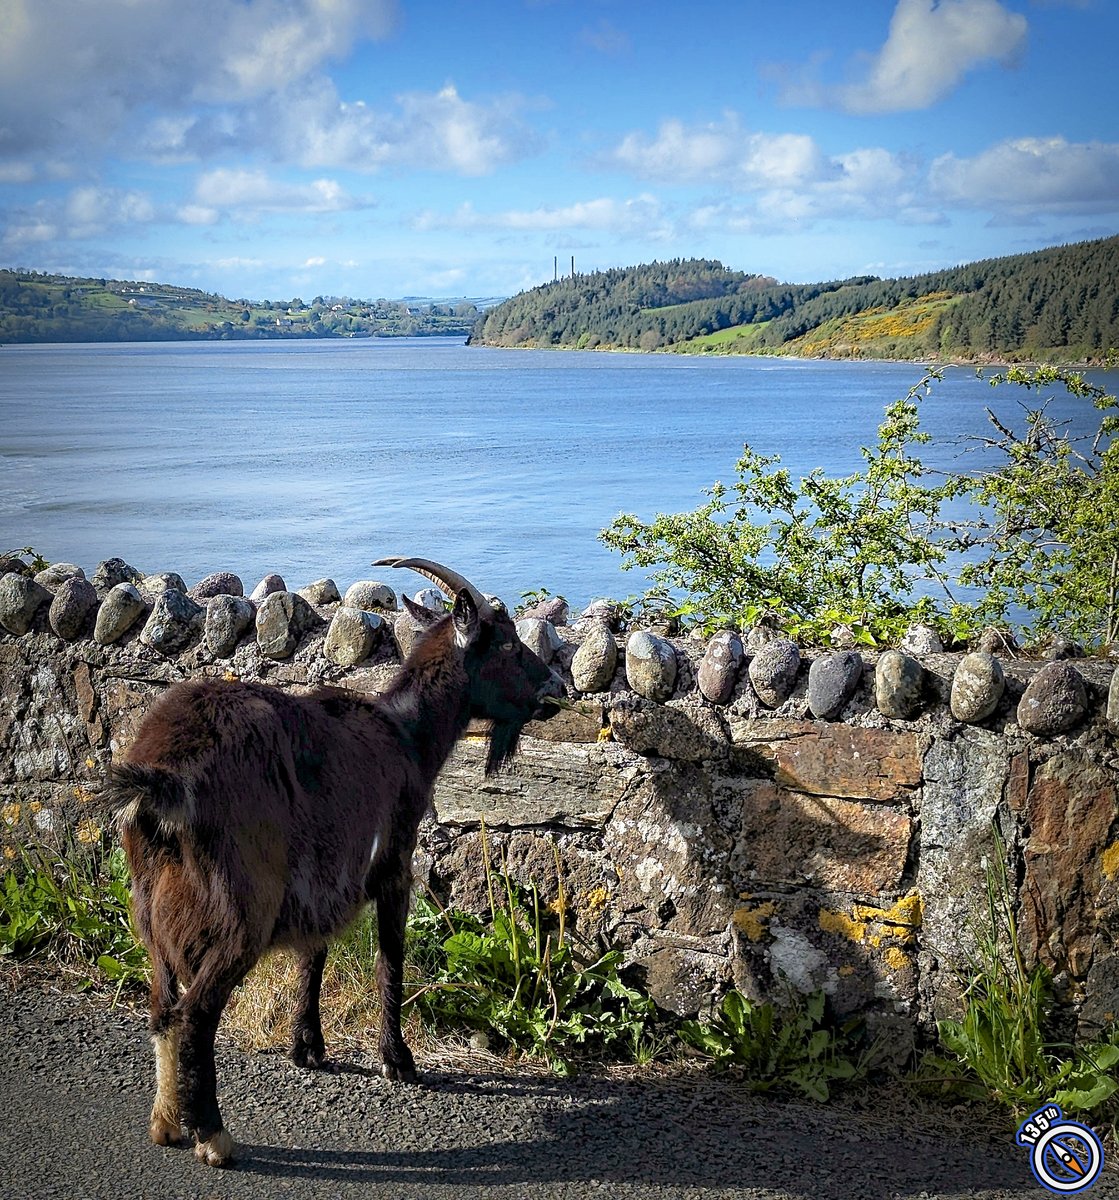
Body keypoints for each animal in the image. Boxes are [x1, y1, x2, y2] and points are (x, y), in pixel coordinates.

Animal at [106, 557, 565, 1167]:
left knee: (161, 1007)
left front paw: (308, 1047)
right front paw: (398, 1060)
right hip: (239, 909)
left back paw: (166, 1123)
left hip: (150, 908)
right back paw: (212, 1136)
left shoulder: (320, 875)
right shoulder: (392, 865)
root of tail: (165, 777)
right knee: (197, 1014)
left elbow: (313, 954)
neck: (407, 734)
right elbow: (390, 958)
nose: (555, 690)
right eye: (510, 644)